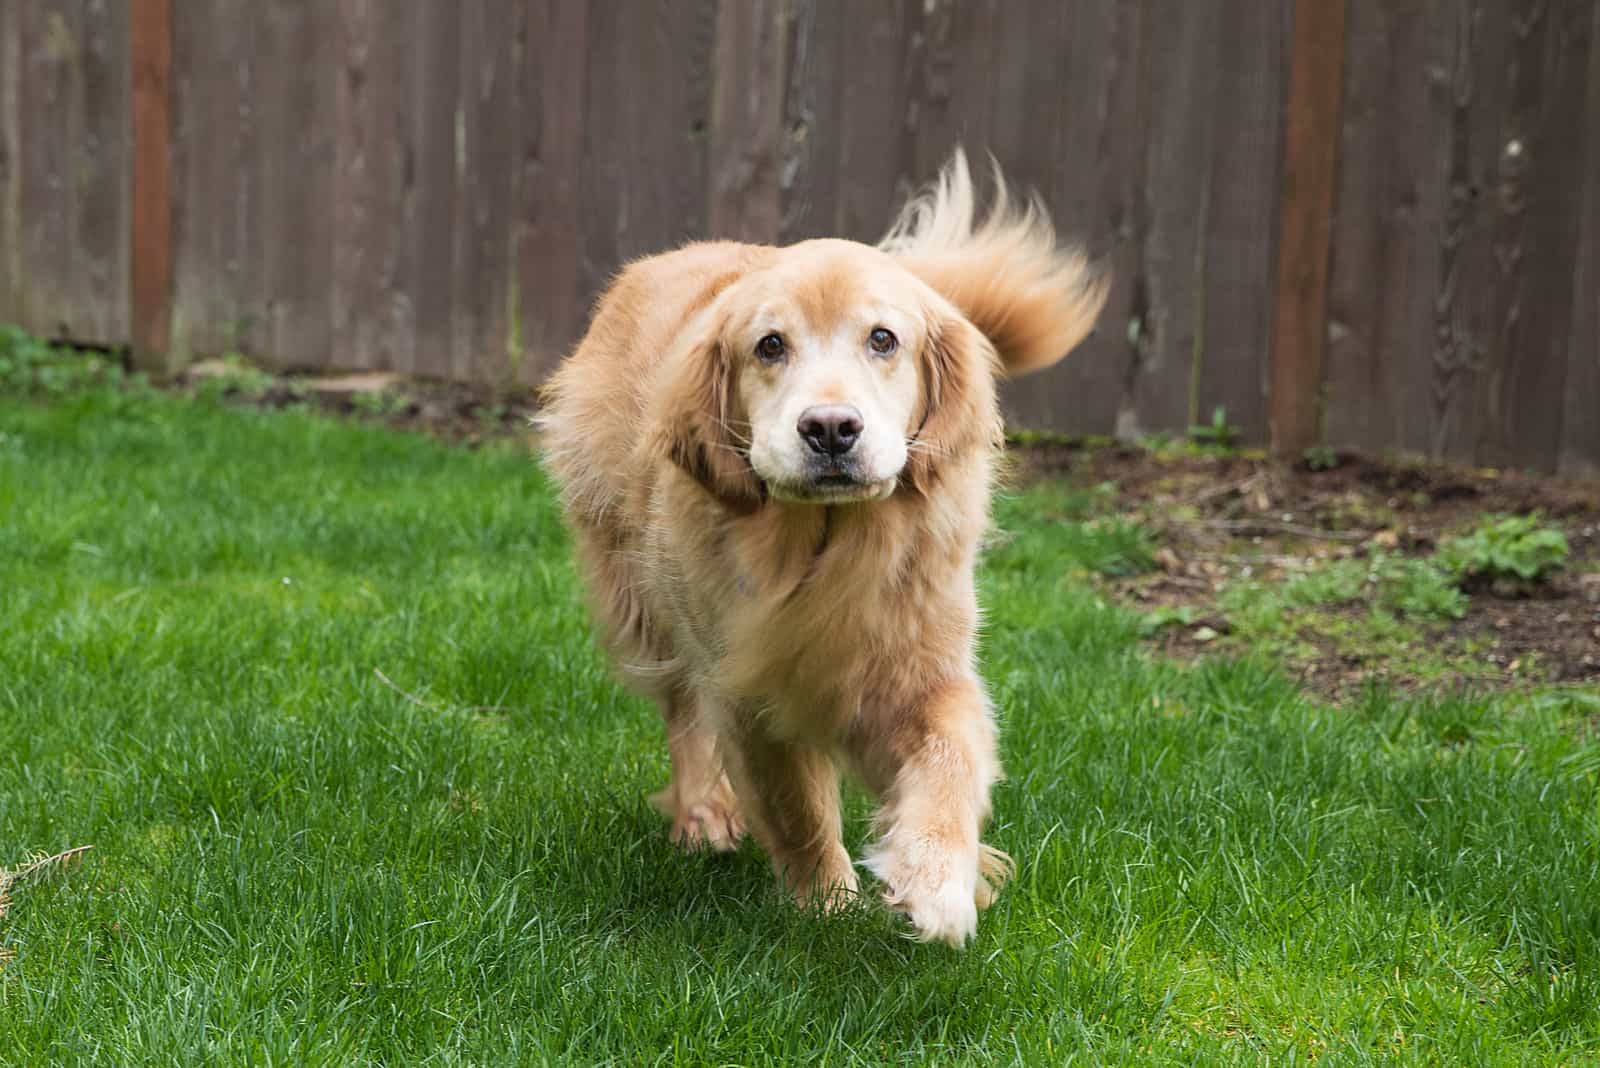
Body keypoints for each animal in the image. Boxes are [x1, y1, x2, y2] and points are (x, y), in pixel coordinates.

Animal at [537, 150, 1100, 940]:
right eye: (770, 345)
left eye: (883, 339)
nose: (831, 428)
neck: (828, 547)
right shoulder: (750, 689)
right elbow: (797, 806)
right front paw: (826, 903)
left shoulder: (925, 667)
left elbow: (950, 761)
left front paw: (937, 880)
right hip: (641, 596)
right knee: (683, 710)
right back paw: (702, 813)